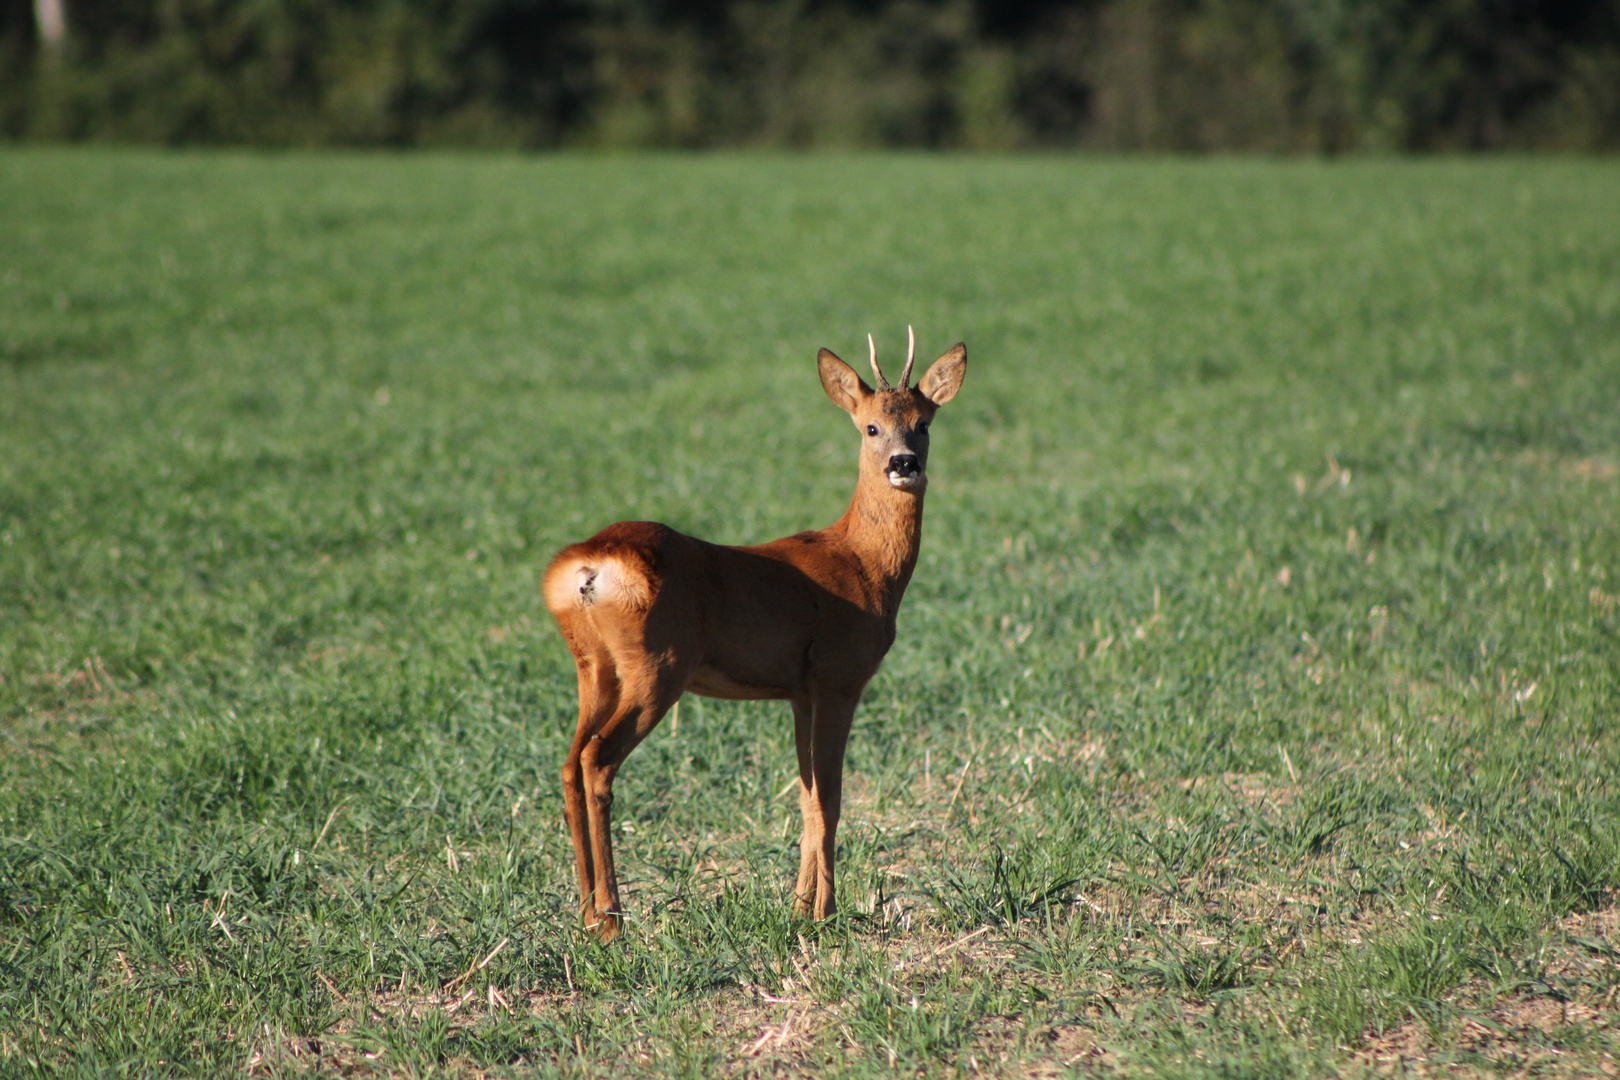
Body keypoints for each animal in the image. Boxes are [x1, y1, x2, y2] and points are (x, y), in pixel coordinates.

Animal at [550, 327, 965, 939]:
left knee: (569, 762)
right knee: (598, 760)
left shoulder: (799, 691)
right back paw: (612, 920)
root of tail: (587, 568)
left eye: (925, 422)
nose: (904, 462)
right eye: (870, 426)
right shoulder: (840, 675)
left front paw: (797, 908)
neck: (863, 565)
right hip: (657, 664)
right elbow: (832, 797)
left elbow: (807, 796)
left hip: (595, 666)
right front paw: (826, 914)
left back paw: (584, 913)